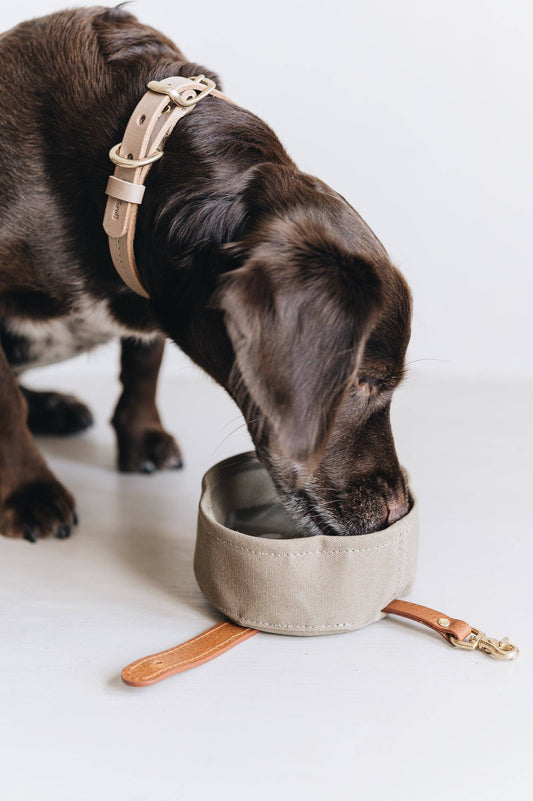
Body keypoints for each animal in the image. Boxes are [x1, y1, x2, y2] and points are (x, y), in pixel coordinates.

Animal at [0, 4, 412, 544]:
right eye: (363, 382)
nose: (399, 509)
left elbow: (144, 363)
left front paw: (142, 436)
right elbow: (7, 404)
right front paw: (30, 490)